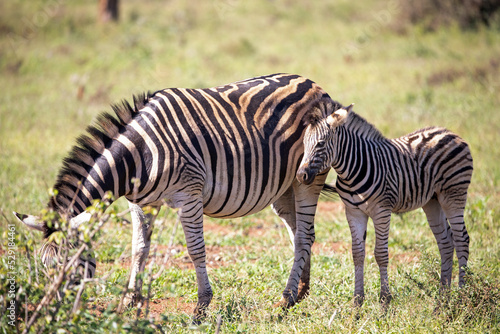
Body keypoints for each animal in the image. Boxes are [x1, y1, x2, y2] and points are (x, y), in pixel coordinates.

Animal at [14, 73, 340, 320]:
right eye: (44, 267)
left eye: (69, 267)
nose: (50, 314)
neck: (138, 156)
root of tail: (312, 83)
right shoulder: (140, 204)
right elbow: (139, 249)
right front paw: (129, 302)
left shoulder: (189, 196)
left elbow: (195, 250)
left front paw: (201, 306)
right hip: (282, 187)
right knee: (298, 234)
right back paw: (300, 292)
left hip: (307, 177)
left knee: (304, 235)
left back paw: (285, 300)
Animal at [296, 103, 472, 308]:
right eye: (304, 144)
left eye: (321, 143)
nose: (300, 176)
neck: (352, 170)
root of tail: (450, 132)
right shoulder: (354, 212)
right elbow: (357, 254)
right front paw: (357, 302)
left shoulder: (382, 210)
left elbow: (380, 253)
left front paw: (384, 301)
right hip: (432, 201)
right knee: (445, 242)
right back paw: (442, 300)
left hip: (453, 194)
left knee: (461, 239)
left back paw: (462, 297)